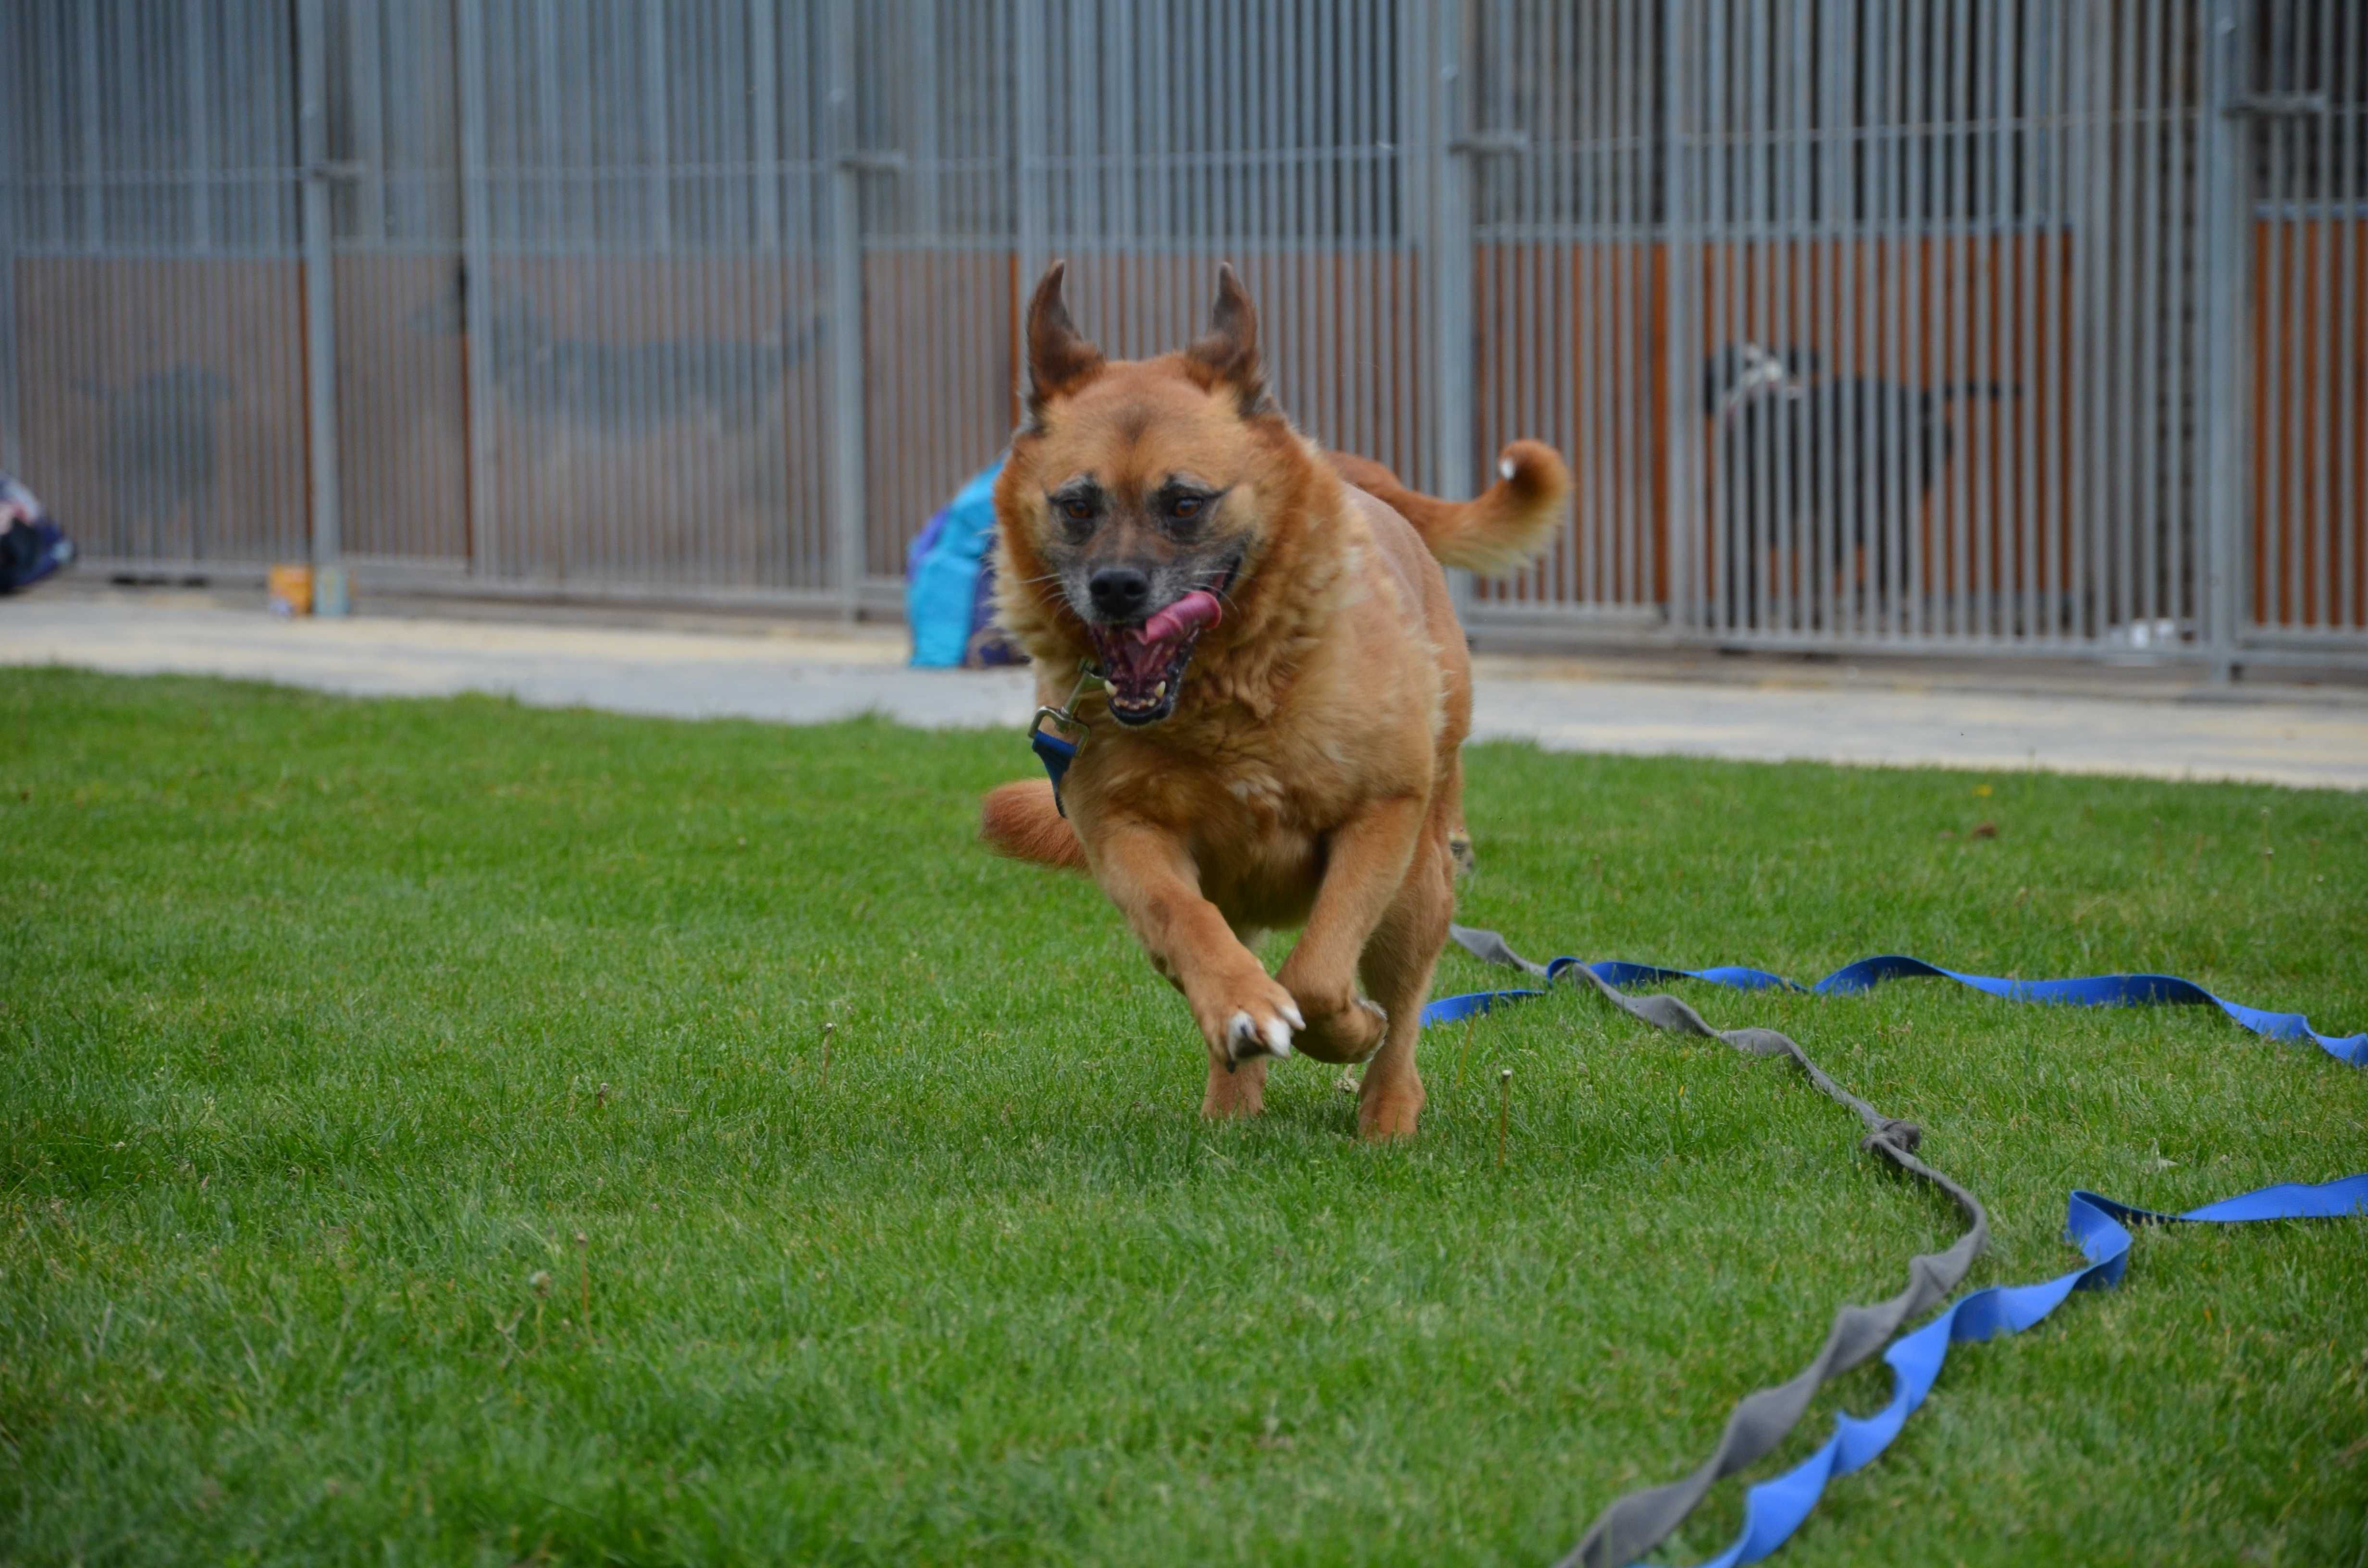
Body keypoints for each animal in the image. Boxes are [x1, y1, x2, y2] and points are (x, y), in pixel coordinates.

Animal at [980, 264, 1572, 1137]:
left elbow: (1322, 973)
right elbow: (1190, 928)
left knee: (1402, 1015)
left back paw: (1387, 1114)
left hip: (1418, 885)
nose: (1115, 590)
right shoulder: (1126, 837)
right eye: (1077, 505)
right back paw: (1232, 1105)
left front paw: (1348, 1027)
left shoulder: (1380, 818)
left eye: (1184, 503)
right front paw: (1242, 1009)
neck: (1229, 705)